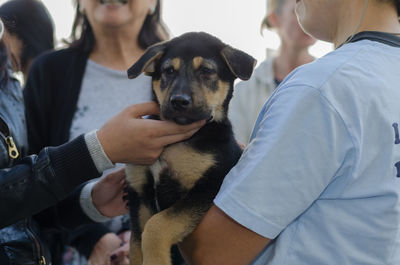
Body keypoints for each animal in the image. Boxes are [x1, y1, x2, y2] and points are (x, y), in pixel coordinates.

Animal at [125, 31, 256, 264]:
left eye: (206, 71)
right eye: (168, 71)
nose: (179, 101)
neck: (172, 144)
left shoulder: (209, 186)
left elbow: (157, 225)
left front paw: (156, 259)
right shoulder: (139, 193)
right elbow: (135, 245)